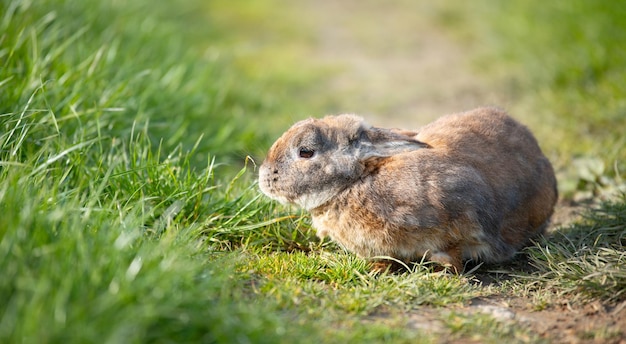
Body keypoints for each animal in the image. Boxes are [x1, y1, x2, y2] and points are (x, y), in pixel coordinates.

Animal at [258, 107, 556, 274]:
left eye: (305, 152)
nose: (262, 177)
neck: (357, 180)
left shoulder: (465, 210)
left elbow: (455, 251)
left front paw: (442, 268)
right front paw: (377, 269)